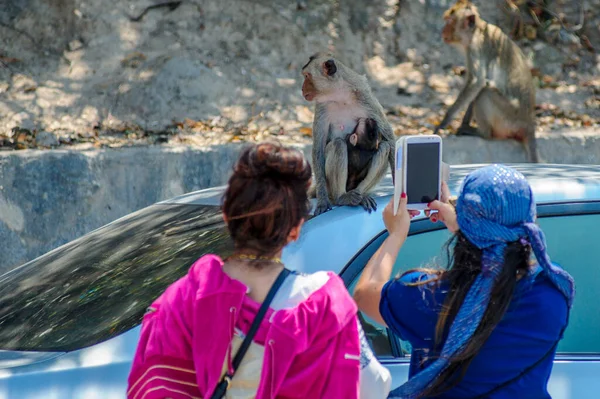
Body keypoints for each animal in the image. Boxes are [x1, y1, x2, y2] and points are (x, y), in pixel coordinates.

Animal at [302, 54, 396, 216]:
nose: (302, 88)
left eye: (307, 76)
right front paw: (322, 201)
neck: (341, 96)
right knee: (338, 144)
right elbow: (319, 148)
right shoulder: (321, 106)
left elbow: (388, 137)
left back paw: (360, 195)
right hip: (330, 187)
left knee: (384, 147)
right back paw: (341, 198)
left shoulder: (365, 97)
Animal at [432, 0, 540, 163]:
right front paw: (463, 121)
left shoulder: (475, 47)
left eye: (449, 22)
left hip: (509, 118)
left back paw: (483, 133)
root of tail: (529, 123)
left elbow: (477, 82)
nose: (442, 31)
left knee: (486, 92)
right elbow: (475, 88)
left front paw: (444, 122)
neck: (478, 30)